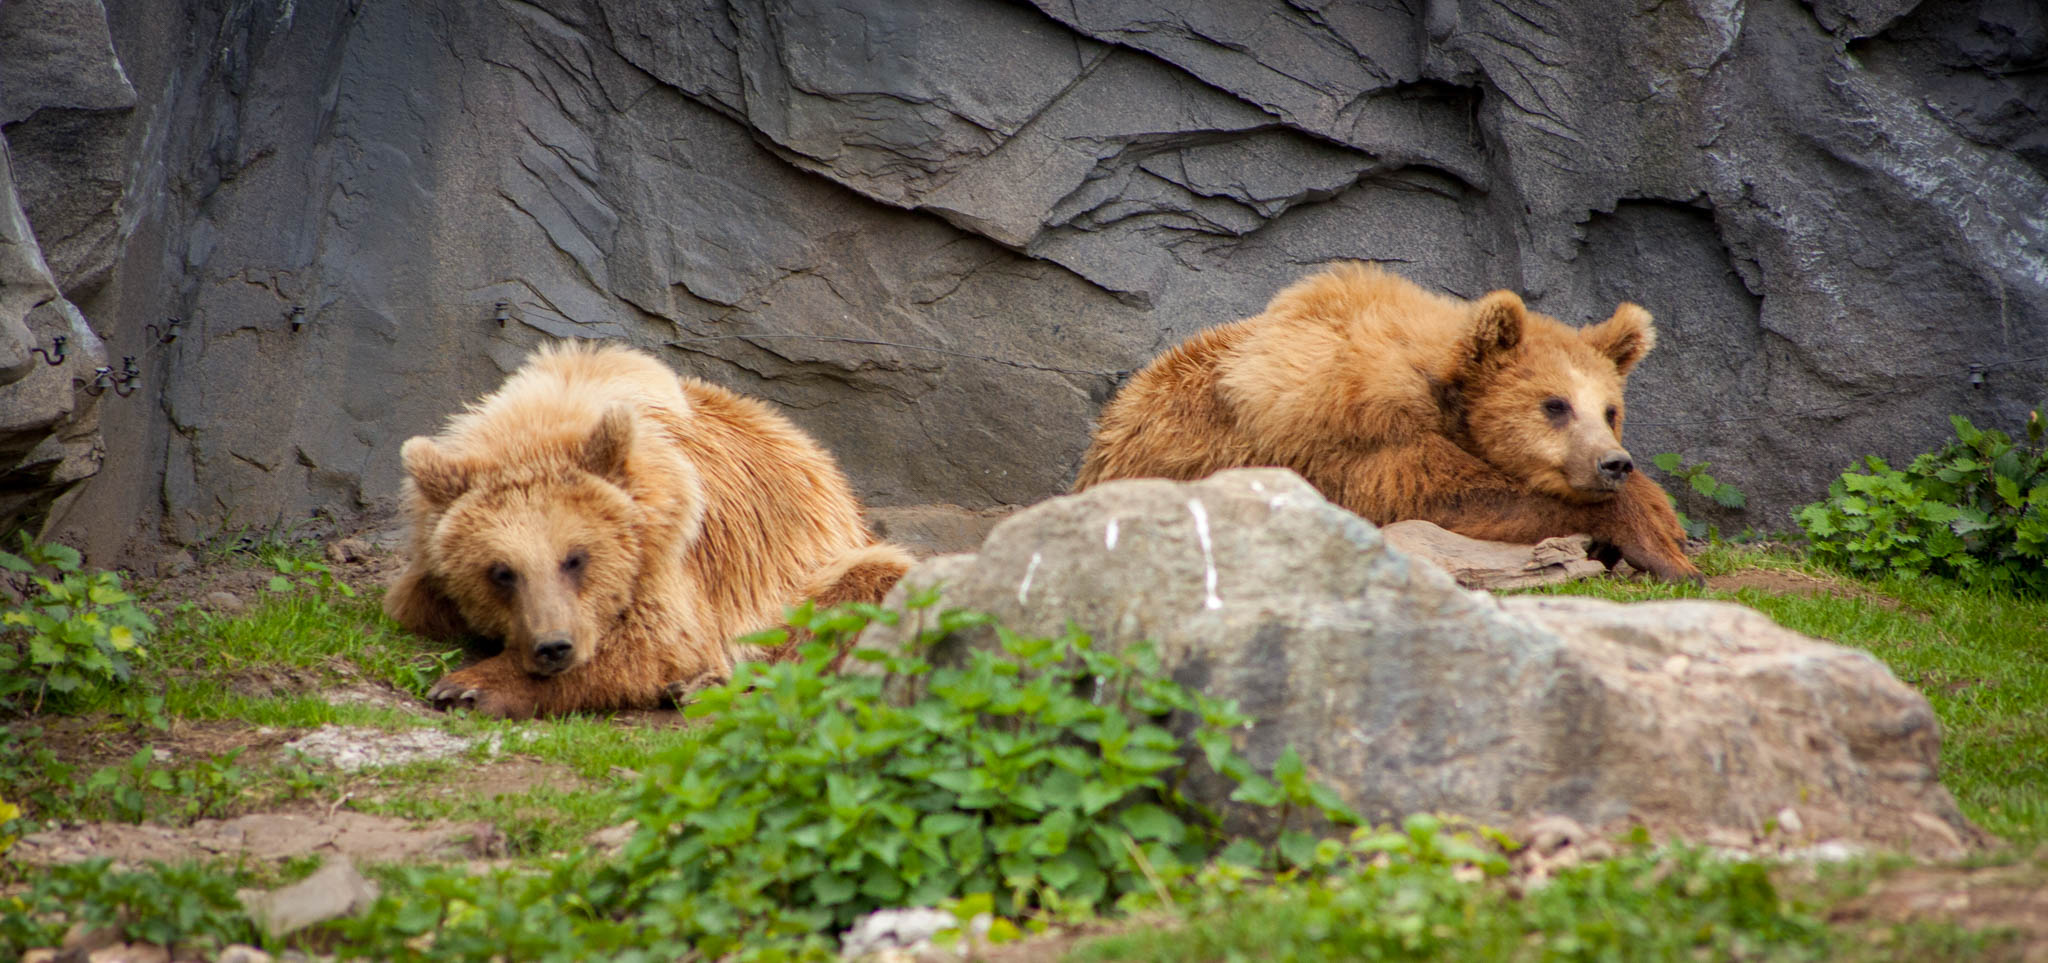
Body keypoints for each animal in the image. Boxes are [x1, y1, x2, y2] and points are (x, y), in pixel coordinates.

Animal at [385, 342, 913, 717]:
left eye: (575, 558)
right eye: (501, 571)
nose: (554, 646)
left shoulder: (672, 555)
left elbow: (656, 643)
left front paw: (469, 686)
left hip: (813, 571)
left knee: (865, 587)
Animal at [1081, 259, 1703, 581]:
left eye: (1610, 409)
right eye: (1555, 404)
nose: (1613, 462)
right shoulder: (1360, 433)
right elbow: (1454, 494)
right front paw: (1662, 546)